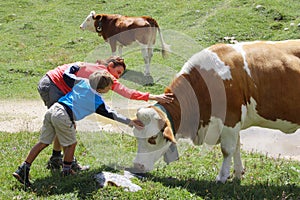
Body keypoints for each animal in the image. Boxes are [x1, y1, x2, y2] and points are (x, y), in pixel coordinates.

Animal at [132, 39, 300, 183]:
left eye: (152, 138)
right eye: (136, 136)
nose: (137, 166)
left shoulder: (230, 118)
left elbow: (227, 149)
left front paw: (222, 177)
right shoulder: (233, 123)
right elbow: (237, 146)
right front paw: (238, 173)